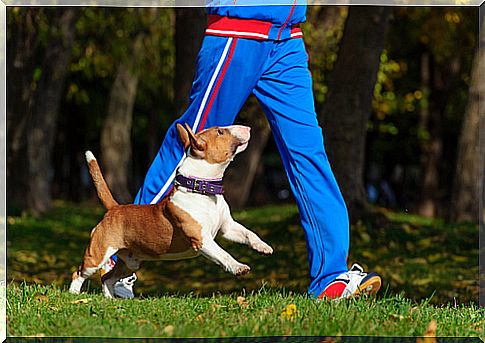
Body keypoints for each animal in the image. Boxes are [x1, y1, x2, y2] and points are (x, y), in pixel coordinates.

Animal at [68, 123, 272, 298]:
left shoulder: (227, 228)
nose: (248, 128)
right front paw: (238, 267)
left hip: (130, 263)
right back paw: (74, 295)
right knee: (79, 273)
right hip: (98, 254)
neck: (202, 190)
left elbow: (248, 233)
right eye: (220, 132)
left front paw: (263, 246)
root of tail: (115, 208)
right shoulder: (202, 239)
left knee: (107, 278)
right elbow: (223, 254)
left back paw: (110, 299)